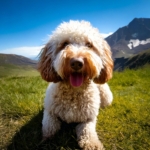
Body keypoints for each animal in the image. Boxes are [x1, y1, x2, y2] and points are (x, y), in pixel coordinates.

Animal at [37, 20, 113, 150]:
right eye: (65, 43)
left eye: (89, 45)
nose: (77, 63)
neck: (74, 91)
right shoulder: (50, 112)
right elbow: (49, 127)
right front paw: (45, 139)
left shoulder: (88, 118)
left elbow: (88, 131)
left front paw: (92, 144)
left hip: (106, 96)